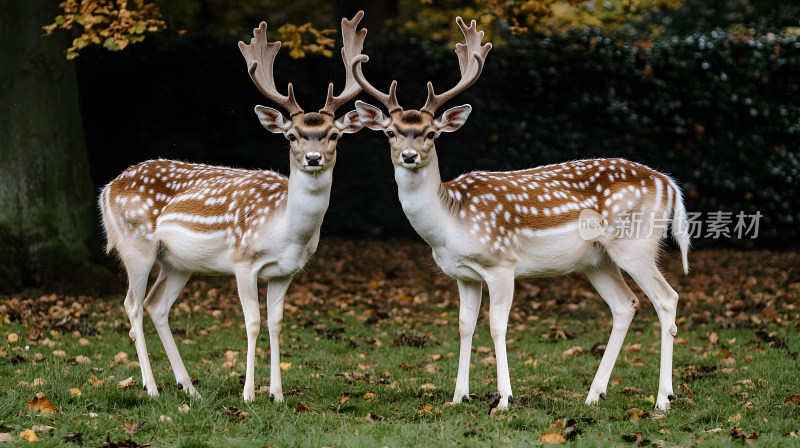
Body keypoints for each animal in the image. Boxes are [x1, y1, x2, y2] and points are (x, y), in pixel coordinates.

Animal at [98, 11, 368, 402]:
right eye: (291, 136)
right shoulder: (243, 261)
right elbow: (252, 322)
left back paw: (189, 389)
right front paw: (249, 394)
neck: (285, 229)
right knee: (132, 305)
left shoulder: (286, 271)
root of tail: (107, 189)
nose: (314, 158)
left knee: (156, 305)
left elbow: (276, 323)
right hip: (136, 246)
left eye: (334, 135)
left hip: (177, 263)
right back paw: (151, 389)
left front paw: (278, 395)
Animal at [354, 17, 692, 412]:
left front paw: (504, 399)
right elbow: (464, 325)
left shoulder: (502, 263)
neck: (450, 223)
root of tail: (668, 183)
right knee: (626, 305)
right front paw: (458, 396)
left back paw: (663, 399)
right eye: (390, 132)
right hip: (597, 259)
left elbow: (497, 326)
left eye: (431, 133)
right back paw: (594, 394)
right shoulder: (463, 274)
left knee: (667, 299)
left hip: (635, 243)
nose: (409, 155)